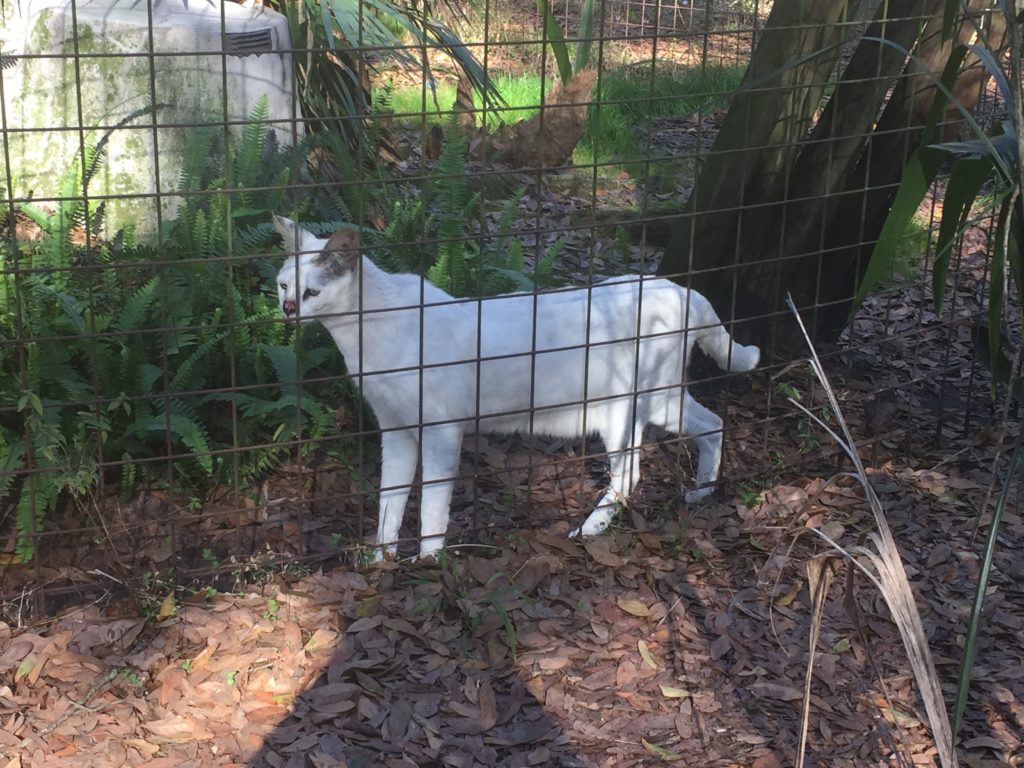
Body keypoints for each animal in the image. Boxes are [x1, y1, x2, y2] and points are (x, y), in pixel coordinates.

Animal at [274, 217, 761, 561]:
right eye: (282, 284)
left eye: (311, 291)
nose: (288, 308)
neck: (363, 337)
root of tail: (681, 290)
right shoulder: (395, 430)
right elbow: (389, 503)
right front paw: (382, 561)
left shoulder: (440, 431)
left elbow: (431, 503)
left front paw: (428, 562)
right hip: (660, 399)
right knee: (712, 424)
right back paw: (701, 492)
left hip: (628, 406)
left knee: (630, 473)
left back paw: (588, 531)